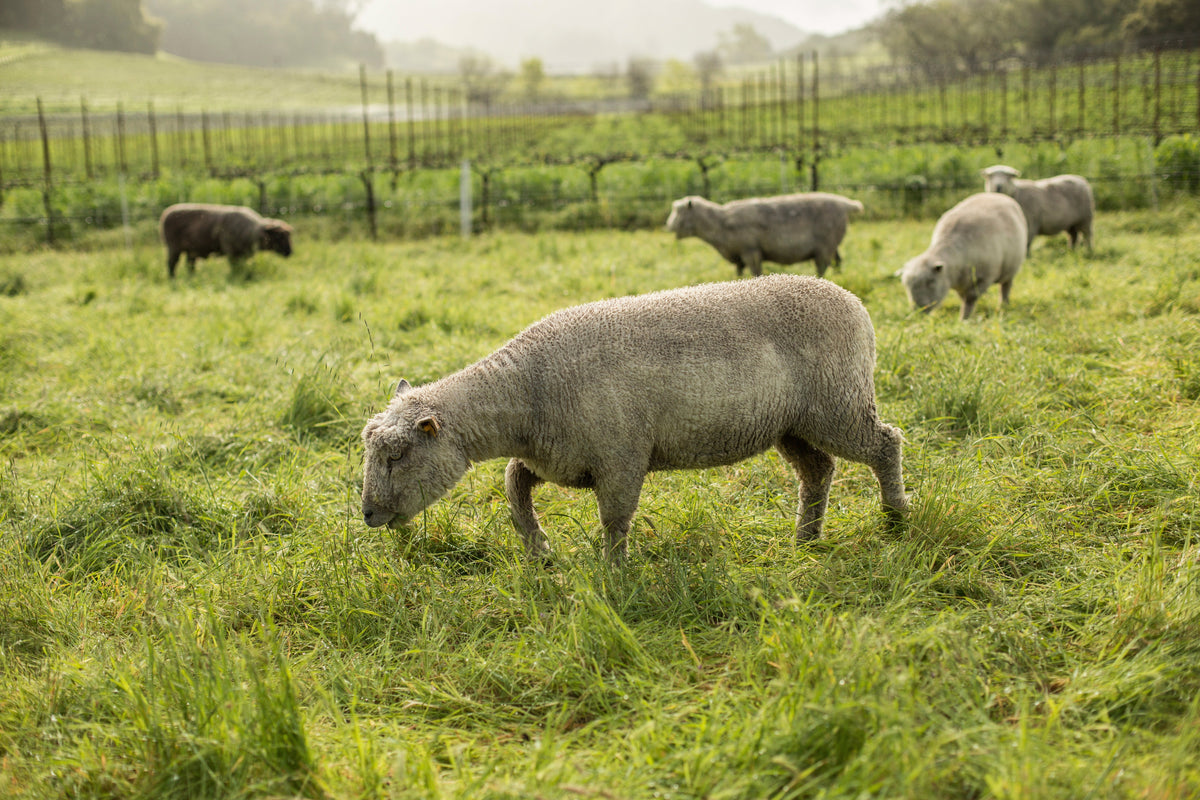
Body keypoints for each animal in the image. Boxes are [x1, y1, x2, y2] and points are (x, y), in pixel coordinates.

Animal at [159, 203, 293, 278]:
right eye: (279, 236)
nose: (289, 252)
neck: (253, 231)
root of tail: (165, 213)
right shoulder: (230, 250)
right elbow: (235, 267)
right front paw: (235, 276)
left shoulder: (242, 253)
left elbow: (241, 266)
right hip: (173, 247)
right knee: (172, 264)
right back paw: (172, 279)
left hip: (191, 250)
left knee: (190, 265)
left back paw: (192, 277)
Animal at [361, 274, 908, 564]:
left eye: (397, 455)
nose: (366, 515)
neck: (527, 390)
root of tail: (851, 300)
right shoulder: (556, 457)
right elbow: (513, 486)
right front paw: (539, 550)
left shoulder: (620, 457)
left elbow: (614, 519)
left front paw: (613, 571)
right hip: (792, 424)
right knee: (818, 471)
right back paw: (805, 541)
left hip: (838, 405)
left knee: (886, 443)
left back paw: (896, 519)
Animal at [665, 192, 864, 278]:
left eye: (679, 211)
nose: (667, 226)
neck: (720, 223)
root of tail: (846, 204)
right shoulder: (738, 256)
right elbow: (739, 272)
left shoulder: (750, 251)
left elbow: (756, 271)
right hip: (833, 244)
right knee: (838, 262)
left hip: (825, 245)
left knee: (822, 266)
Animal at [899, 192, 1028, 321]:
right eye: (906, 285)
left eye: (931, 281)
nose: (918, 310)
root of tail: (995, 194)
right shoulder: (961, 283)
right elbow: (963, 297)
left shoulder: (984, 277)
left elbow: (970, 298)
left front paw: (964, 318)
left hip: (1010, 268)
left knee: (1005, 286)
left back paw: (1003, 305)